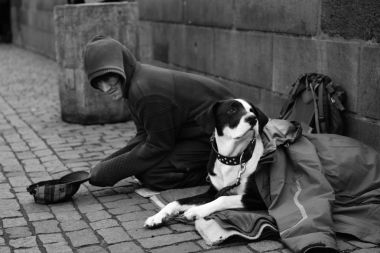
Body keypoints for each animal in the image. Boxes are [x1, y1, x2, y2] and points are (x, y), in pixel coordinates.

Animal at [144, 98, 268, 227]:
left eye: (252, 110)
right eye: (232, 110)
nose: (253, 118)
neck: (232, 159)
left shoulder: (259, 198)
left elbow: (223, 199)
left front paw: (196, 211)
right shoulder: (212, 192)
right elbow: (176, 201)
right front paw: (156, 217)